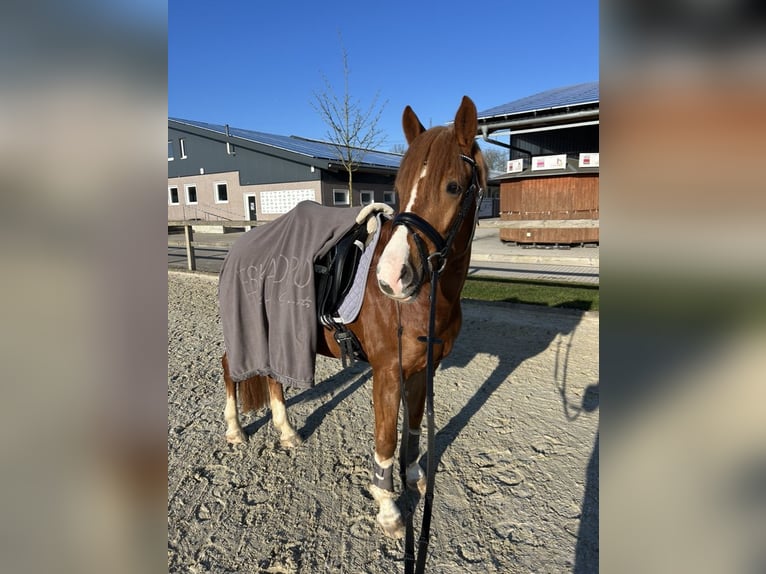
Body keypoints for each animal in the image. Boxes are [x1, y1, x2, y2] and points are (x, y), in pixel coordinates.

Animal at [222, 97, 486, 544]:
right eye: (399, 189)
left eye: (453, 186)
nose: (392, 277)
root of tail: (241, 245)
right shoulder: (388, 372)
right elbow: (385, 438)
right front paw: (388, 508)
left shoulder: (423, 369)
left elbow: (413, 429)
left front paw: (413, 476)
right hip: (244, 332)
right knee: (230, 369)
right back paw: (235, 430)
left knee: (273, 376)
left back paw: (287, 431)